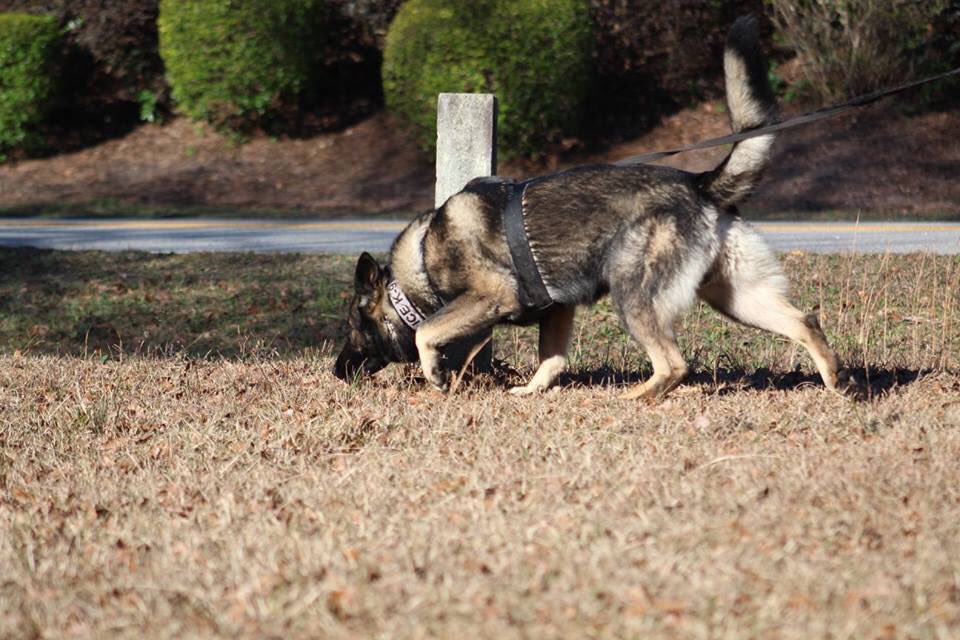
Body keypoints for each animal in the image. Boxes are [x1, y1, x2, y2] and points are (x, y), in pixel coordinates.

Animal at [336, 16, 848, 400]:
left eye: (353, 328)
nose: (336, 371)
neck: (421, 263)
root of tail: (700, 183)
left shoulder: (490, 295)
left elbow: (427, 332)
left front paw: (436, 374)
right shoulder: (557, 310)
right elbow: (552, 359)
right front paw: (530, 392)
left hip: (635, 294)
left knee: (674, 363)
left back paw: (634, 398)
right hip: (736, 296)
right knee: (805, 321)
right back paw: (835, 381)